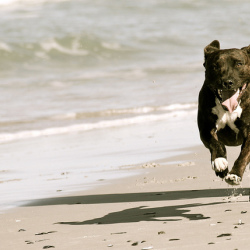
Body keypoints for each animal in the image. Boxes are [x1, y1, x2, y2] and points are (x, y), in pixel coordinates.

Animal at [198, 40, 249, 186]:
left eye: (239, 64)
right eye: (215, 66)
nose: (227, 82)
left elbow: (244, 155)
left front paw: (235, 174)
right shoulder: (206, 128)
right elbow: (215, 143)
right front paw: (219, 161)